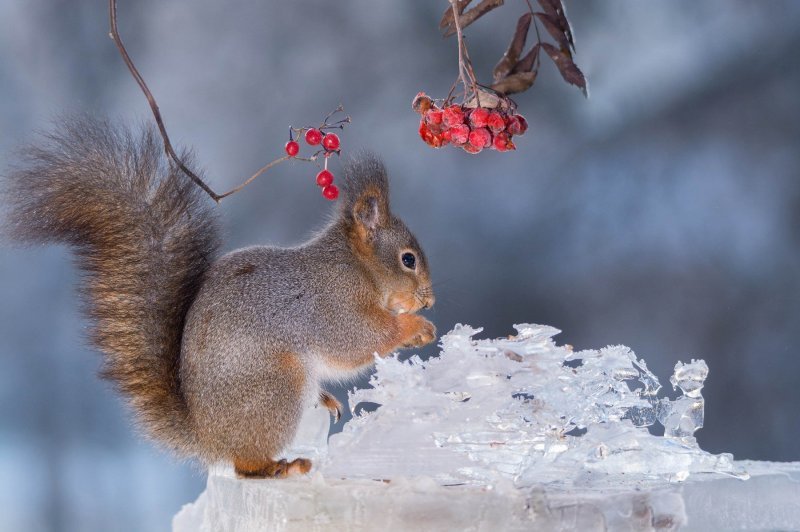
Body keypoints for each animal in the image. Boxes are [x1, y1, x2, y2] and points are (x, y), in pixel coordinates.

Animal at [3, 117, 434, 478]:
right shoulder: (333, 304)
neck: (357, 267)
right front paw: (415, 325)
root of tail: (208, 438)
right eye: (408, 260)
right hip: (276, 386)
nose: (428, 301)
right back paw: (279, 466)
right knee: (245, 465)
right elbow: (358, 339)